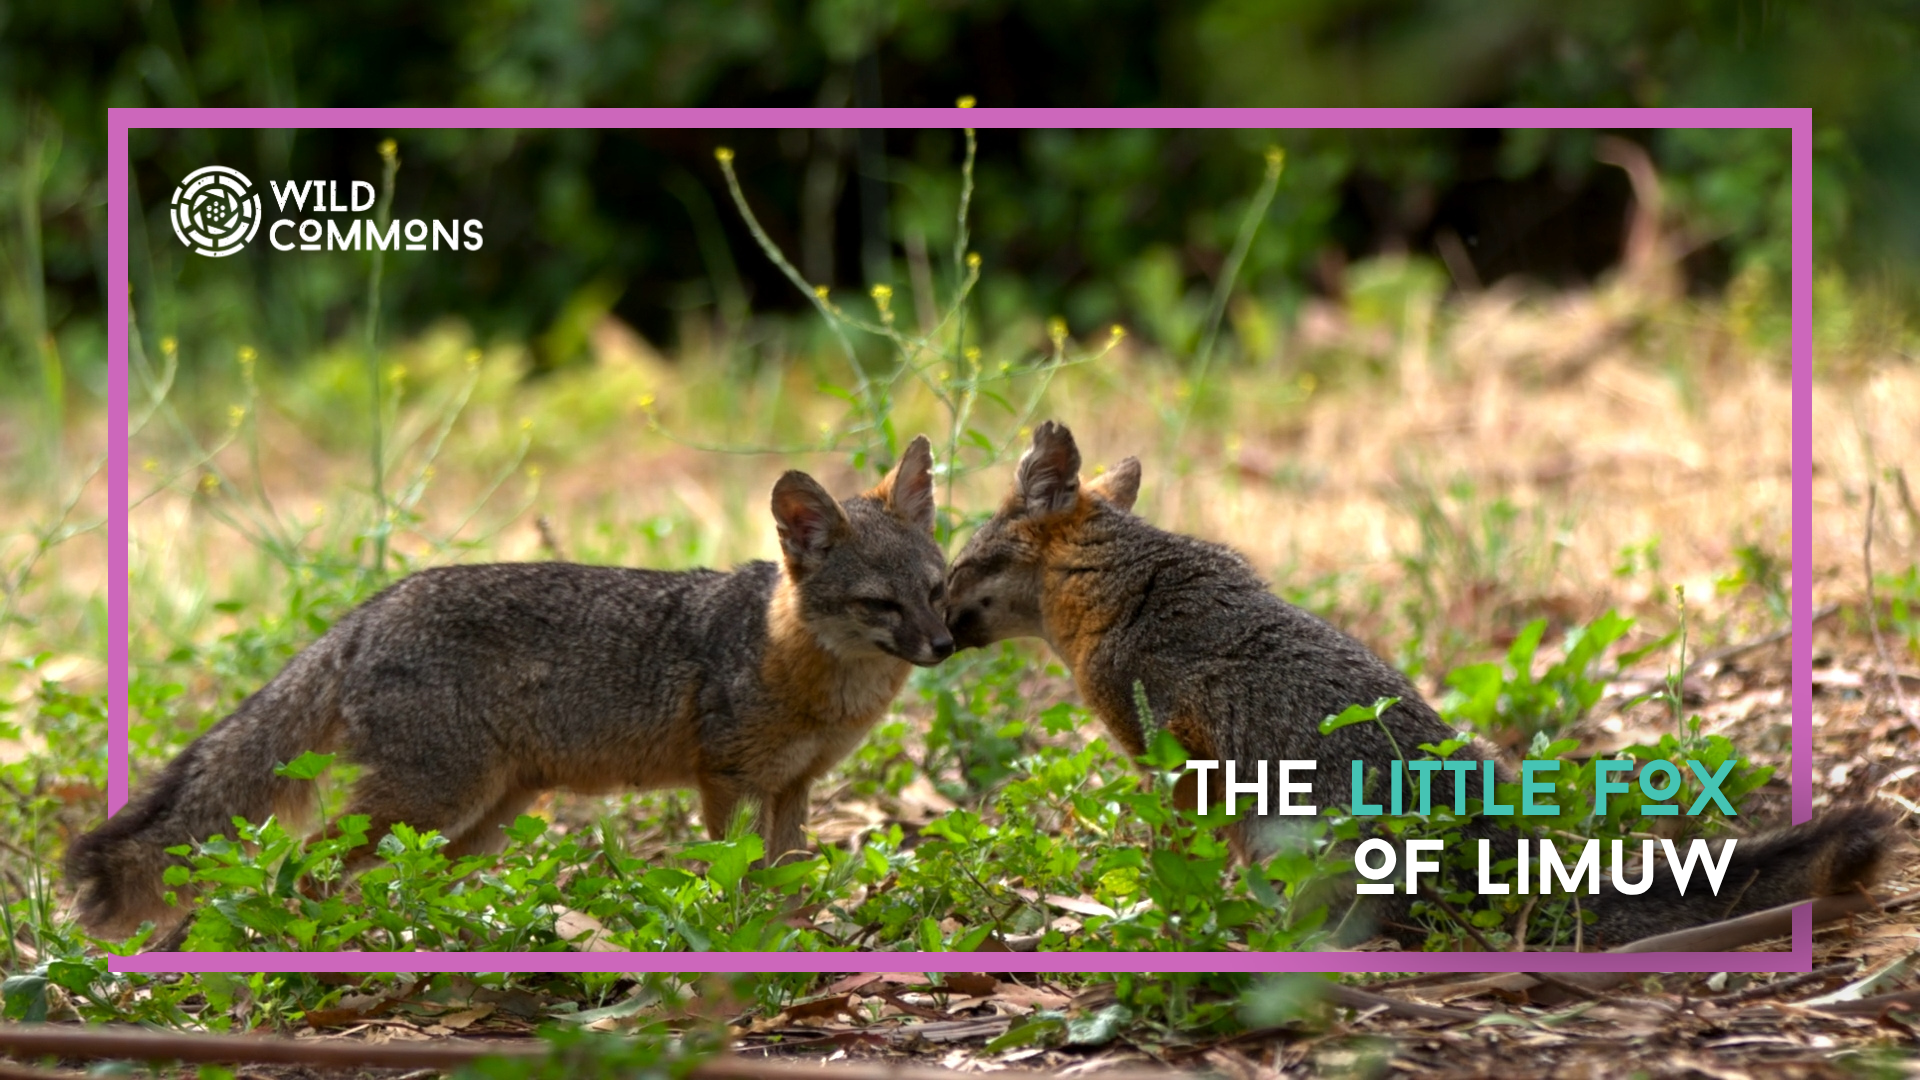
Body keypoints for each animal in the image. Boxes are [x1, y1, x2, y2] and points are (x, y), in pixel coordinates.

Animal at [67, 436, 953, 940]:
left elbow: (787, 879)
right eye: (881, 604)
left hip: (478, 820)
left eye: (937, 590)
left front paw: (795, 938)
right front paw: (740, 935)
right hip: (431, 800)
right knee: (305, 863)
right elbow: (730, 873)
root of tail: (372, 608)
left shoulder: (794, 786)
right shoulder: (725, 780)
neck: (809, 679)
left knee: (398, 878)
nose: (944, 646)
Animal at [945, 420, 1898, 945]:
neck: (1121, 583)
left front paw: (1170, 913)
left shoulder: (1180, 759)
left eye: (955, 569)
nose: (932, 622)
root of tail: (1503, 848)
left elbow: (1175, 856)